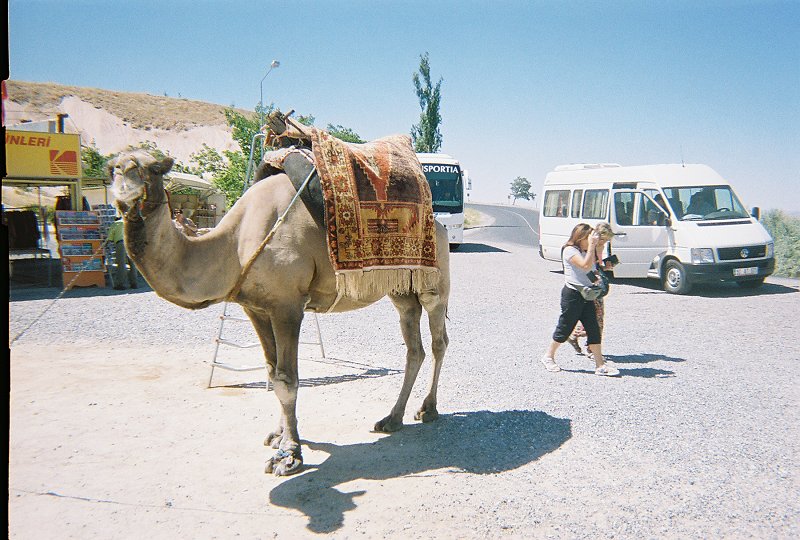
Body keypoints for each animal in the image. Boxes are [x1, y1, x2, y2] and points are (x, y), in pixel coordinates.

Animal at [109, 149, 450, 476]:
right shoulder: (256, 308)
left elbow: (287, 380)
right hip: (400, 289)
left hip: (434, 283)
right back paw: (392, 418)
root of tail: (439, 223)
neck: (236, 244)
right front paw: (279, 435)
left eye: (153, 169)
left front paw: (289, 455)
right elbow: (272, 373)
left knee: (437, 340)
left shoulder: (287, 305)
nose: (125, 199)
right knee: (414, 345)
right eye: (114, 168)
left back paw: (428, 409)